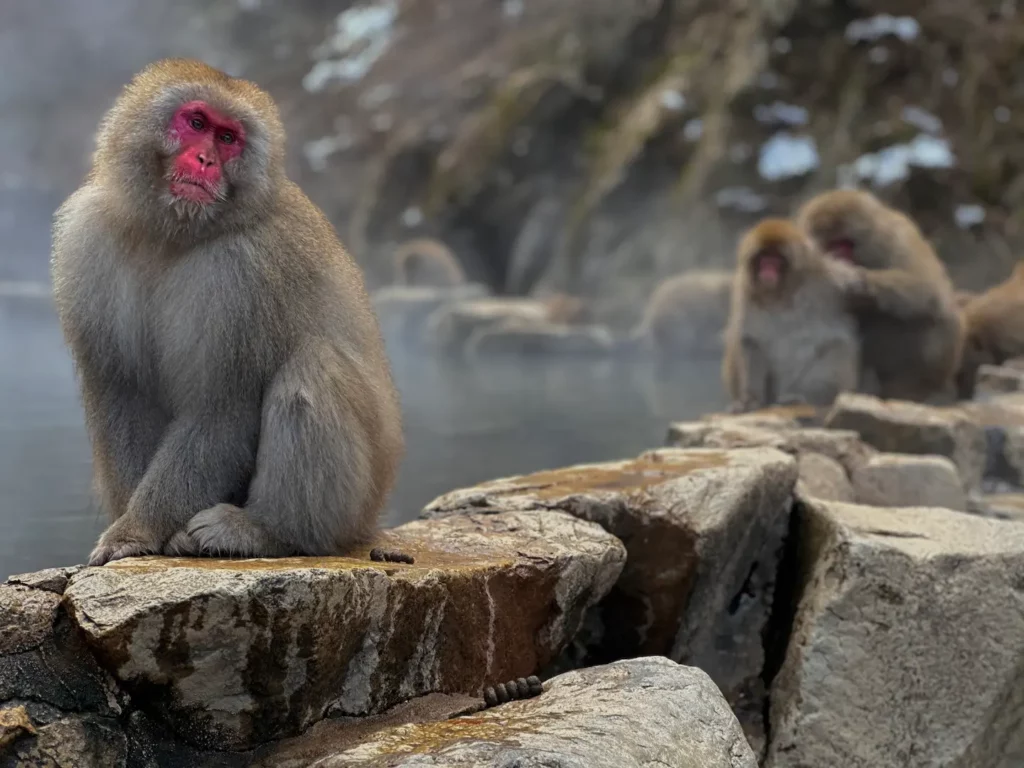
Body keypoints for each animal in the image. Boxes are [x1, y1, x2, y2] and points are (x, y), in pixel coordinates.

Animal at [50, 59, 404, 565]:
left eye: (228, 138)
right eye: (197, 123)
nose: (205, 161)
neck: (172, 235)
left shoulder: (244, 271)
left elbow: (222, 408)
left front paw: (137, 528)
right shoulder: (88, 238)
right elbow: (124, 394)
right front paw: (144, 530)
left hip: (359, 501)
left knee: (314, 368)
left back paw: (270, 532)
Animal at [721, 219, 860, 411]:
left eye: (776, 259)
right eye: (763, 258)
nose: (768, 269)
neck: (783, 294)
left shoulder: (832, 280)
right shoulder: (745, 292)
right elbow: (750, 339)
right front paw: (751, 399)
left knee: (838, 346)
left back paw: (806, 398)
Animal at [796, 188, 964, 402]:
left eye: (844, 244)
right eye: (831, 246)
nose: (839, 257)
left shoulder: (896, 236)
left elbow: (926, 285)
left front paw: (857, 282)